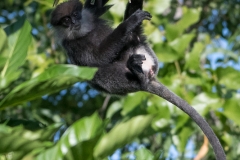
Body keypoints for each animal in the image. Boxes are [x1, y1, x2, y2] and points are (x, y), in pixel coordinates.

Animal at [50, 0, 225, 159]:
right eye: (65, 21)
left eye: (75, 15)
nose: (73, 23)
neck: (83, 32)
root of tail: (149, 77)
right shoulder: (73, 47)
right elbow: (97, 58)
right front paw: (130, 21)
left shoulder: (91, 15)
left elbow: (97, 7)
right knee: (99, 72)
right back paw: (138, 75)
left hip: (142, 51)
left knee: (133, 41)